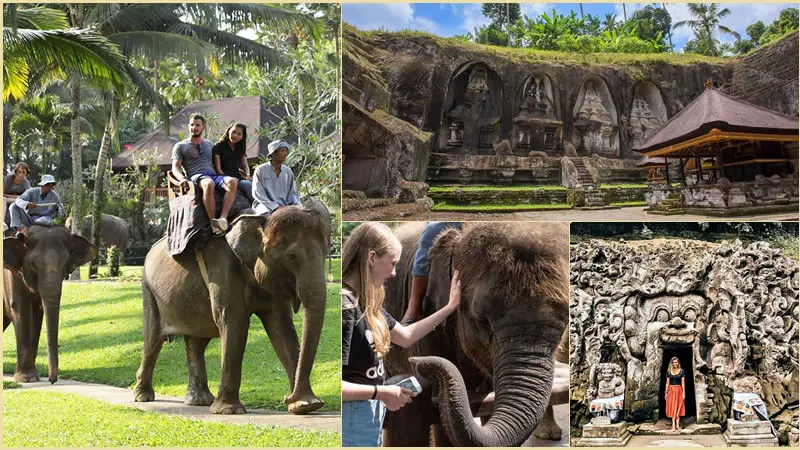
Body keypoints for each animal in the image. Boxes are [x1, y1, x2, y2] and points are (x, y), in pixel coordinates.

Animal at [3, 225, 96, 383]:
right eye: (33, 265)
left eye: (65, 265)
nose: (52, 380)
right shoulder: (11, 277)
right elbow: (20, 309)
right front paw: (26, 378)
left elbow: (37, 314)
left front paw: (33, 377)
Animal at [133, 199, 331, 415]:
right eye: (292, 256)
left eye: (326, 253)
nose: (287, 397)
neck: (259, 220)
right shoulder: (223, 269)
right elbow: (233, 322)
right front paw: (229, 411)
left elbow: (281, 327)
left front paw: (306, 405)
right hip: (149, 290)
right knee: (153, 339)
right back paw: (142, 397)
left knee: (196, 341)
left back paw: (199, 401)